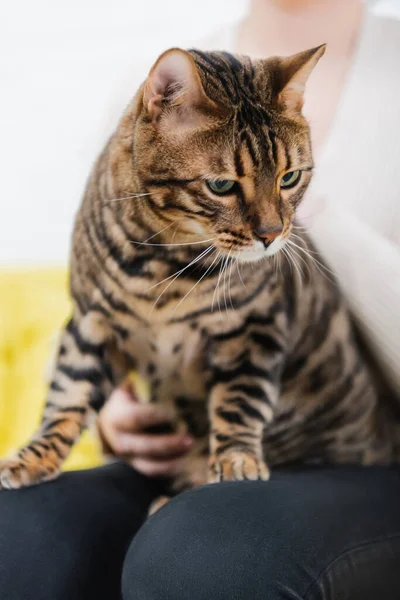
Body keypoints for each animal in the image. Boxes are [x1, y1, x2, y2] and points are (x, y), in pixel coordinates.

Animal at [0, 44, 396, 496]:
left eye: (290, 177)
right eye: (221, 186)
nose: (271, 234)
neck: (163, 264)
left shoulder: (253, 327)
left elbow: (239, 401)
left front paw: (237, 460)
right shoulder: (91, 324)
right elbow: (67, 395)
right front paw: (33, 457)